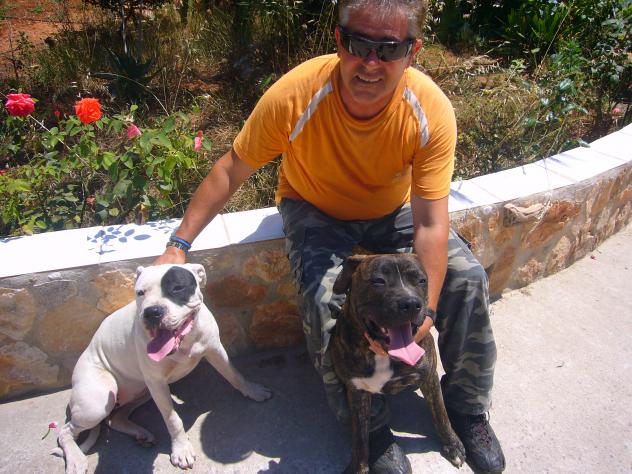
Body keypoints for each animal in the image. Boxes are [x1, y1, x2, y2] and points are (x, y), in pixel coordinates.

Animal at [54, 264, 272, 473]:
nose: (152, 312)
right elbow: (172, 418)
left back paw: (141, 434)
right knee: (65, 432)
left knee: (115, 419)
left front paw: (253, 390)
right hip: (98, 402)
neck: (185, 342)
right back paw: (76, 460)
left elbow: (234, 374)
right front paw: (181, 450)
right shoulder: (158, 383)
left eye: (177, 288)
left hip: (143, 392)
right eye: (140, 292)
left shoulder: (215, 350)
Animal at [330, 254, 466, 473]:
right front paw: (359, 467)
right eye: (378, 281)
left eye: (421, 281)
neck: (383, 354)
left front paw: (452, 445)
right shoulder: (357, 392)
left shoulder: (429, 377)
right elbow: (360, 439)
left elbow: (440, 412)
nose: (410, 303)